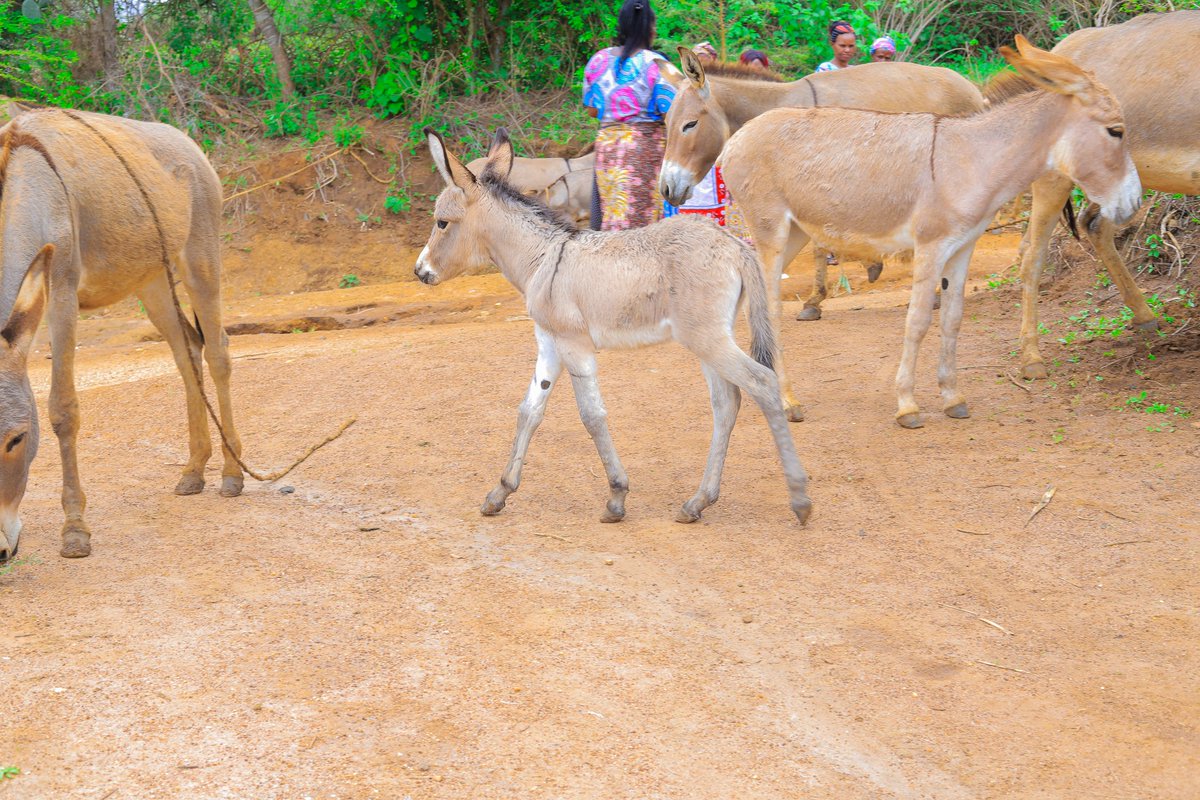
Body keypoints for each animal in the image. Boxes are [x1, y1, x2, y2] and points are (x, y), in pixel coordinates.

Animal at [414, 127, 812, 525]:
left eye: (441, 222)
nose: (419, 272)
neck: (541, 258)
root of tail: (734, 245)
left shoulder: (574, 345)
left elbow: (592, 416)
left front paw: (616, 497)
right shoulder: (549, 343)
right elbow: (529, 411)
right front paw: (500, 492)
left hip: (708, 338)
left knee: (762, 383)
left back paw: (799, 498)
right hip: (709, 339)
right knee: (727, 402)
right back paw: (698, 502)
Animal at [719, 36, 1141, 428]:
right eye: (1116, 132)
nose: (1134, 203)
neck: (973, 158)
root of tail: (738, 137)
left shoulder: (962, 248)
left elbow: (952, 318)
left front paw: (953, 397)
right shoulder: (929, 246)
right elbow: (919, 320)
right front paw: (907, 405)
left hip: (796, 233)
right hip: (770, 229)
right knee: (769, 308)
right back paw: (787, 400)